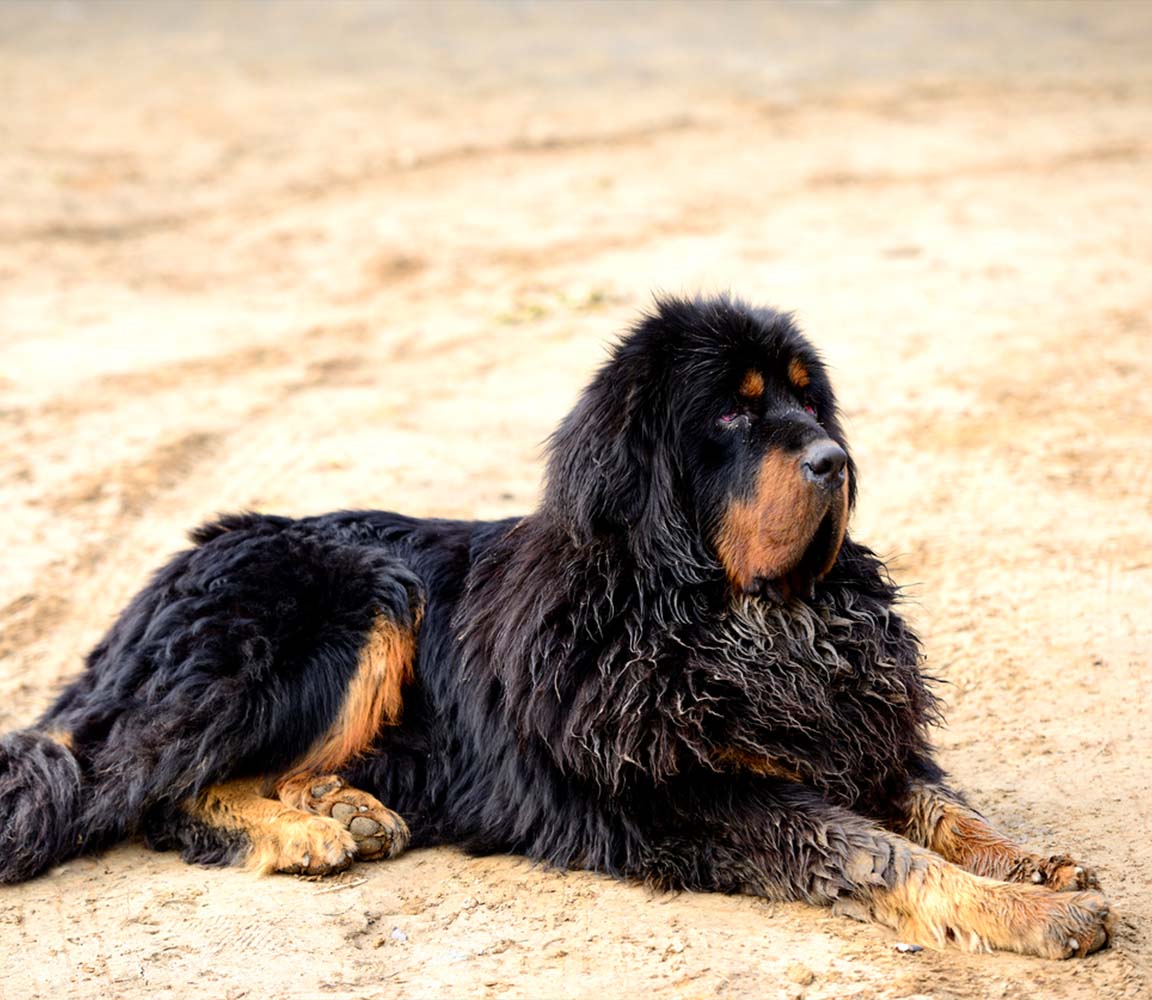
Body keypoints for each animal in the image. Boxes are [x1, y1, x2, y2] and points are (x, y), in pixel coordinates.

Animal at [0, 296, 1111, 958]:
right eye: (733, 415)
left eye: (810, 400)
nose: (836, 460)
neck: (727, 616)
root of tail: (157, 583)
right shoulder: (693, 797)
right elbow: (878, 852)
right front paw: (1032, 913)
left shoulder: (849, 734)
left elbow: (944, 810)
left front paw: (1031, 866)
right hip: (358, 593)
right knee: (154, 793)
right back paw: (309, 831)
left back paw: (344, 806)